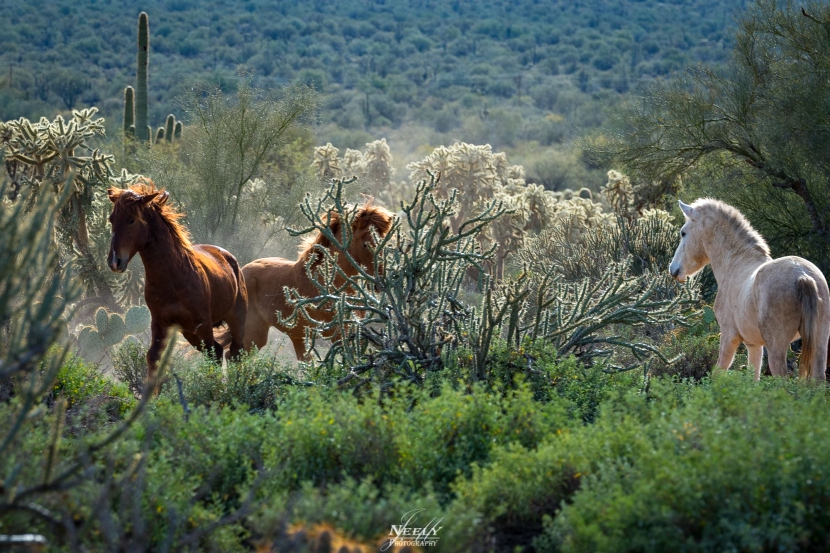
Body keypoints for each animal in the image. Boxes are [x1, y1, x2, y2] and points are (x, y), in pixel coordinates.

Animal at [105, 181, 247, 384]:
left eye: (131, 220)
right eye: (111, 219)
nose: (114, 261)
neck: (172, 277)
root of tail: (229, 258)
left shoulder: (203, 324)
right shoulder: (160, 324)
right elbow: (153, 358)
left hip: (235, 318)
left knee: (233, 353)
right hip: (190, 333)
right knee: (219, 351)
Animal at [226, 203, 394, 358]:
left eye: (384, 242)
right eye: (366, 244)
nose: (380, 281)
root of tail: (241, 271)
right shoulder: (339, 333)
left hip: (294, 335)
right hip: (254, 333)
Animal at [668, 198, 830, 380]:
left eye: (683, 233)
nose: (673, 269)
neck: (736, 264)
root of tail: (802, 275)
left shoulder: (729, 337)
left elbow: (718, 372)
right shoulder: (753, 345)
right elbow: (754, 379)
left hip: (777, 349)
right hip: (820, 344)